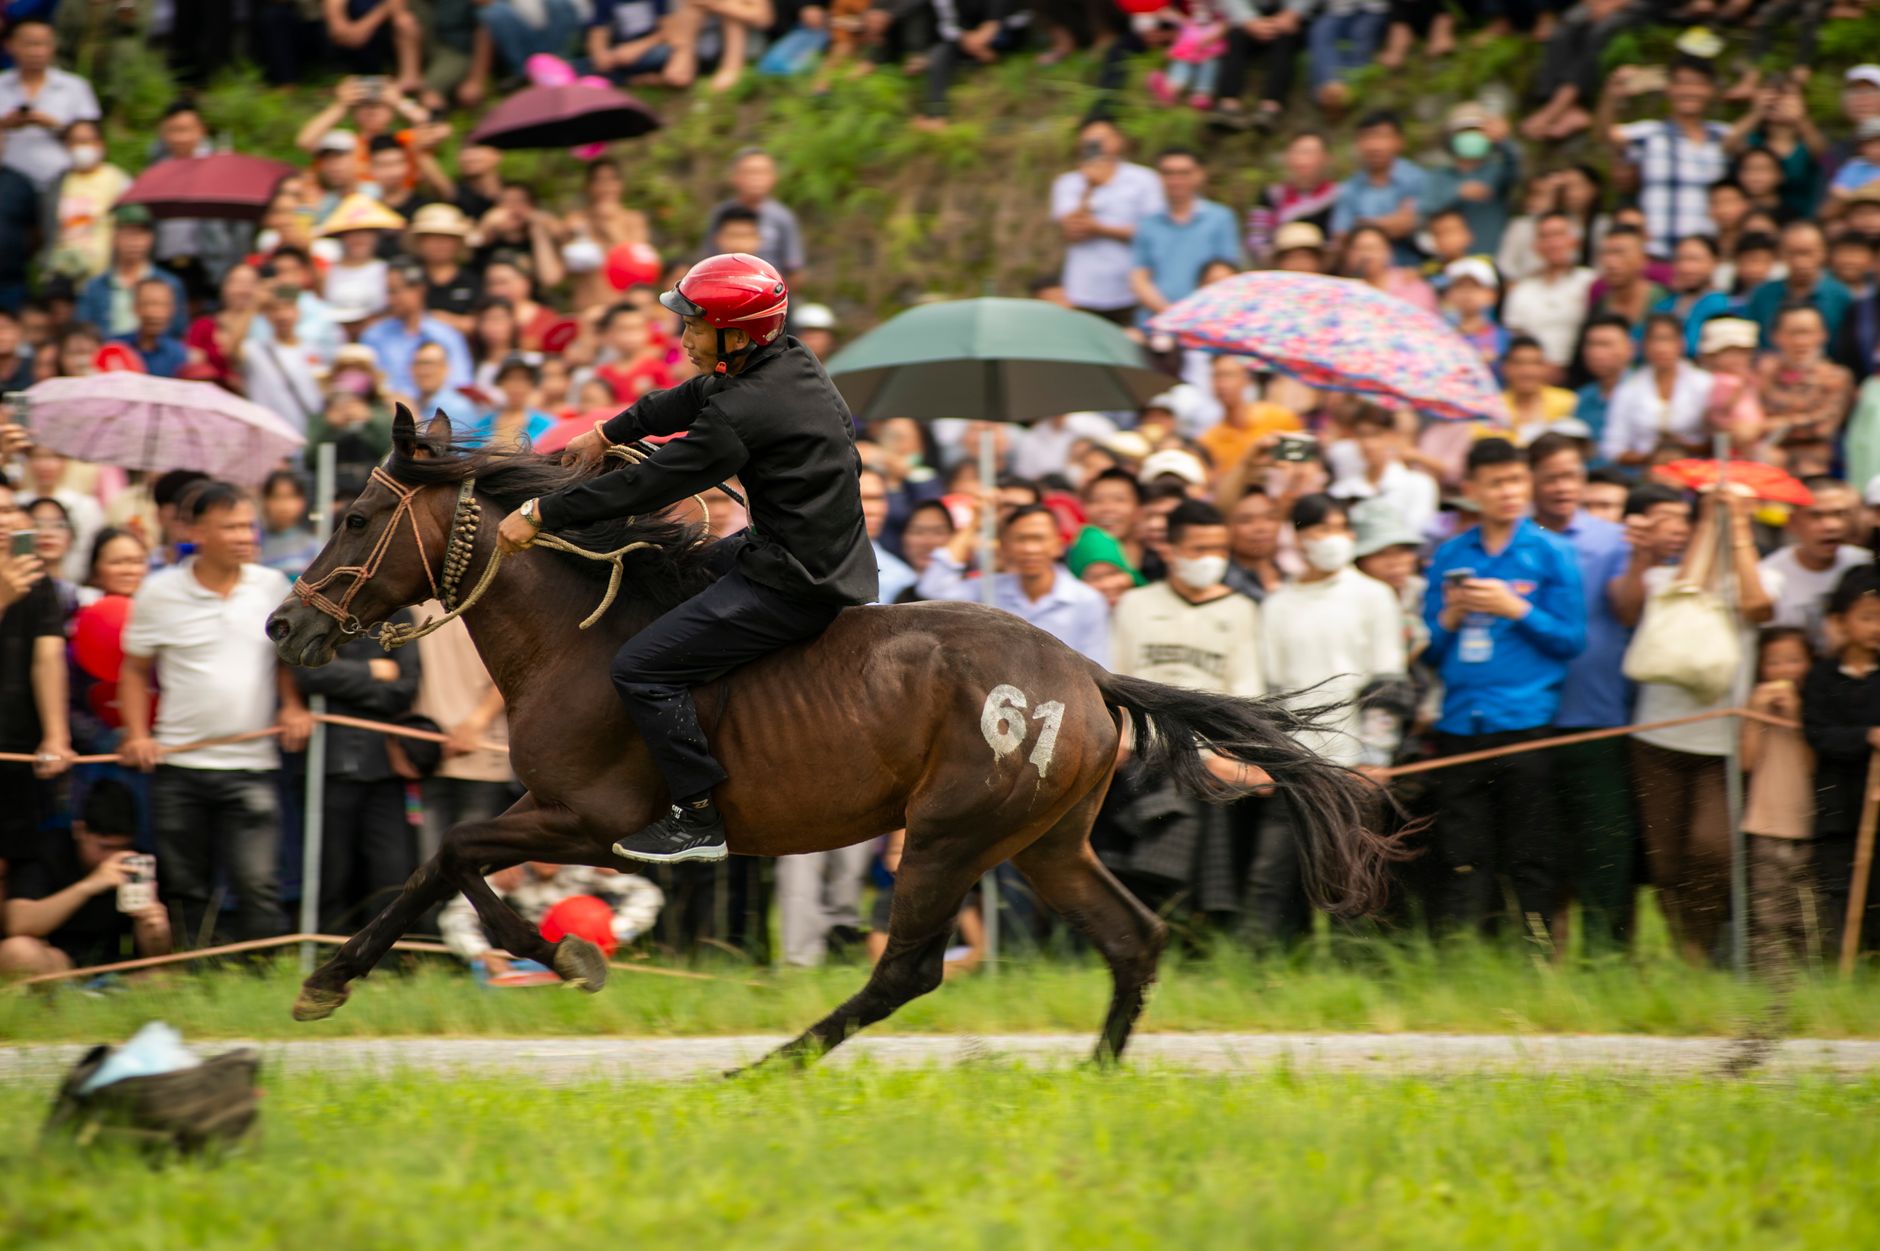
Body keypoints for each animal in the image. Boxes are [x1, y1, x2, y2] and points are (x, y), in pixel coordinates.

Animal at [264, 407, 1401, 1068]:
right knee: (1132, 938)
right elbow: (439, 868)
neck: (575, 635)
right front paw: (337, 977)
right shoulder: (550, 813)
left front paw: (557, 954)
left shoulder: (585, 818)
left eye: (357, 515)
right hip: (1044, 843)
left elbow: (454, 856)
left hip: (947, 836)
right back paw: (1095, 1069)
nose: (284, 624)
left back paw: (771, 1062)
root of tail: (1086, 676)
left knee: (908, 972)